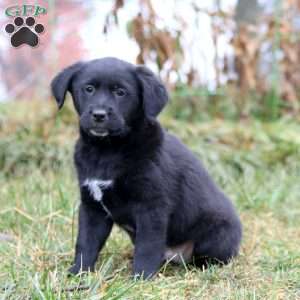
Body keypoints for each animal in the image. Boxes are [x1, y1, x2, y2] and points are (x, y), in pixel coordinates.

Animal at [51, 56, 241, 278]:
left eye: (120, 92)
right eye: (88, 89)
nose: (99, 115)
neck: (107, 150)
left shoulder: (151, 206)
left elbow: (147, 246)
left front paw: (141, 277)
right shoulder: (92, 206)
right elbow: (86, 242)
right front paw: (78, 272)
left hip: (218, 234)